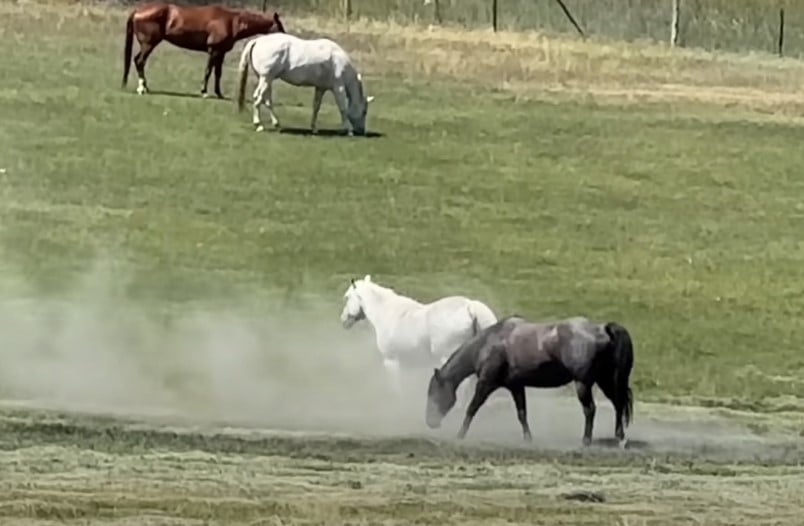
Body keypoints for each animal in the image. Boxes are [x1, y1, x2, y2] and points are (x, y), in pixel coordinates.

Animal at [121, 2, 288, 98]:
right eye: (279, 26)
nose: (286, 38)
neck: (232, 22)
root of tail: (138, 10)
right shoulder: (213, 51)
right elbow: (208, 71)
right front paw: (204, 92)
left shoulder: (221, 53)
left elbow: (218, 73)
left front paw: (219, 94)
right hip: (148, 44)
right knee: (139, 61)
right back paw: (142, 88)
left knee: (137, 61)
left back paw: (145, 87)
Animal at [237, 32, 376, 137]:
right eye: (364, 111)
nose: (362, 131)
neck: (339, 61)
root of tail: (257, 40)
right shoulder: (338, 88)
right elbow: (343, 108)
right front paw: (349, 130)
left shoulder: (320, 88)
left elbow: (316, 107)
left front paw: (314, 128)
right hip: (266, 78)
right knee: (257, 98)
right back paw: (258, 125)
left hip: (266, 79)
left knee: (267, 100)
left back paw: (277, 124)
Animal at [428, 318, 636, 450]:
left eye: (432, 392)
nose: (430, 422)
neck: (490, 343)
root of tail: (602, 329)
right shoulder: (516, 387)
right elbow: (522, 413)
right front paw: (528, 438)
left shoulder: (486, 383)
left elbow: (472, 408)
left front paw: (460, 434)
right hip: (606, 381)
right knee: (618, 405)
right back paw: (620, 438)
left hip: (583, 384)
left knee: (590, 409)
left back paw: (586, 440)